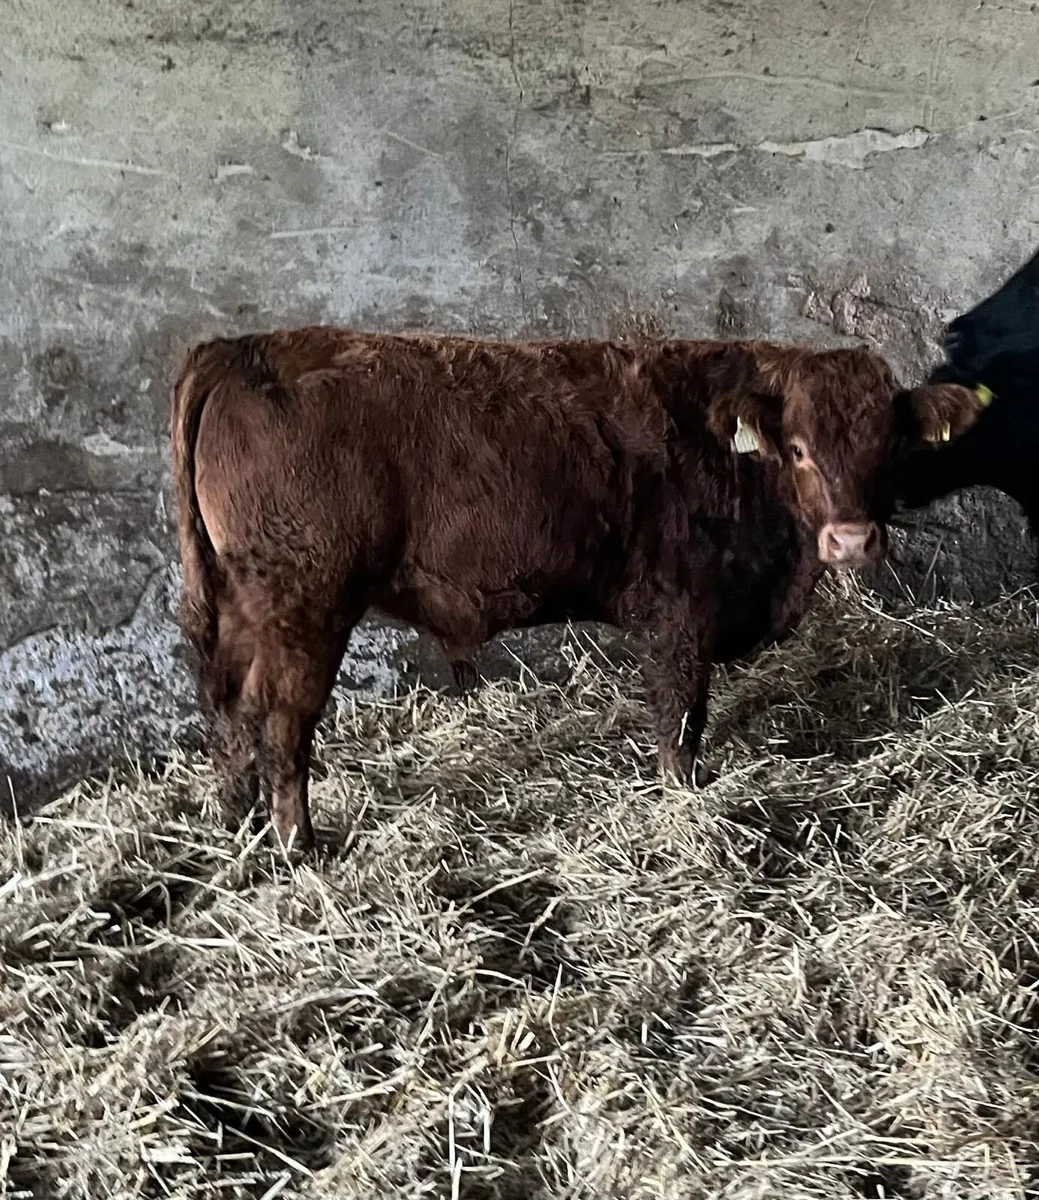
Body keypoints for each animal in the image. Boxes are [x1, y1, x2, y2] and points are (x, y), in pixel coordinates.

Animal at [170, 328, 982, 852]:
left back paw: (237, 822)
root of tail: (243, 349)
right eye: (801, 449)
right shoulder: (677, 617)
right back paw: (300, 845)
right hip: (306, 608)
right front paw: (684, 806)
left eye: (887, 446)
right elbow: (679, 724)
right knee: (281, 722)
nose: (851, 540)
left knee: (227, 710)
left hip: (240, 604)